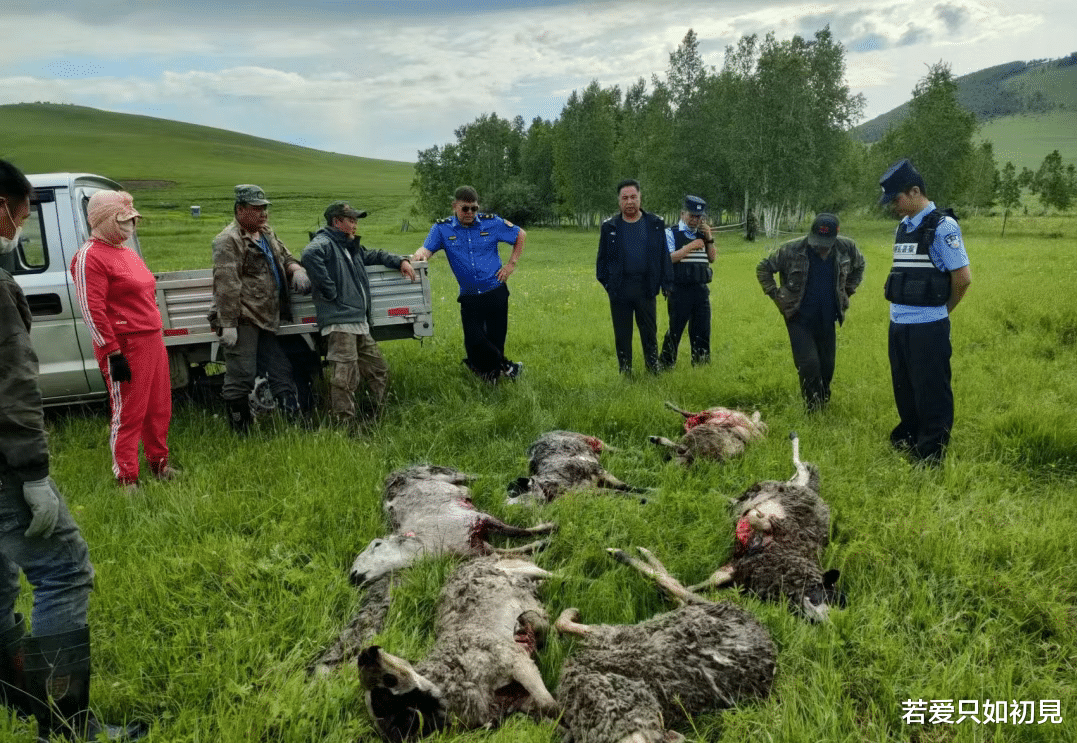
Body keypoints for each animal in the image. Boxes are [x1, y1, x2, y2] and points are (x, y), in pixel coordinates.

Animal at [351, 463, 560, 585]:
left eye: (376, 544)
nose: (353, 576)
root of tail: (392, 474)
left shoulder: (478, 518)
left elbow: (518, 531)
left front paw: (550, 527)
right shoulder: (478, 547)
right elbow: (510, 550)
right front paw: (542, 543)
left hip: (442, 473)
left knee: (476, 475)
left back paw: (502, 476)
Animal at [357, 551, 555, 736]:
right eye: (387, 685)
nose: (365, 654)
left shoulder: (515, 661)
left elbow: (549, 705)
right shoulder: (519, 690)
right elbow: (548, 707)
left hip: (515, 569)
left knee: (552, 574)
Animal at [508, 428, 641, 503]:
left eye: (518, 492)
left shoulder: (599, 471)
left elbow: (625, 486)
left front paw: (645, 493)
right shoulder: (588, 490)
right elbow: (617, 492)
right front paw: (642, 498)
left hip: (589, 439)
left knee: (611, 447)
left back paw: (636, 452)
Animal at [555, 544, 775, 740]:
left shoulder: (613, 634)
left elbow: (563, 623)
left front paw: (572, 613)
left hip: (703, 610)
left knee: (675, 586)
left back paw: (625, 554)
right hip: (698, 610)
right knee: (679, 593)